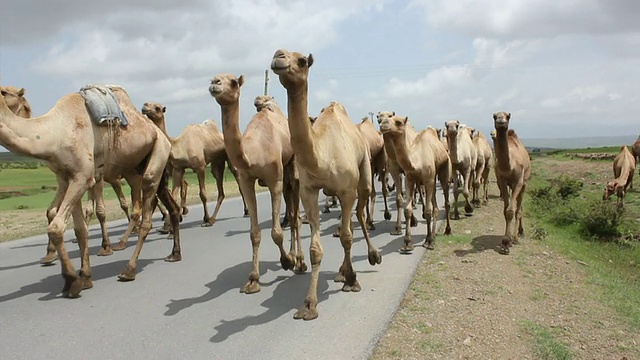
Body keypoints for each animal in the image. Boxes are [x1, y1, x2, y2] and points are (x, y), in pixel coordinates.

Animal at [0, 83, 182, 296]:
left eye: (4, 92)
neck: (54, 132)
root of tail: (162, 135)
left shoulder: (83, 177)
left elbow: (56, 227)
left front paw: (71, 280)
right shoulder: (67, 178)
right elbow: (79, 229)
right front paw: (85, 277)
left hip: (155, 159)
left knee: (146, 216)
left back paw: (129, 269)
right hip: (145, 168)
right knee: (171, 206)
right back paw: (174, 253)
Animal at [206, 71, 304, 294]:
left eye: (234, 82)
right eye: (213, 78)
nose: (215, 84)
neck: (253, 152)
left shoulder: (274, 180)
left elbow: (276, 232)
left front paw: (286, 261)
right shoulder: (246, 181)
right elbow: (254, 233)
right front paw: (253, 279)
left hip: (291, 164)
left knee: (296, 213)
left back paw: (300, 261)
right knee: (291, 207)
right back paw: (294, 256)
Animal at [270, 48, 380, 320]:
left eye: (302, 61)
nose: (279, 56)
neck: (322, 154)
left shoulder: (348, 190)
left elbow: (348, 237)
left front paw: (352, 280)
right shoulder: (308, 191)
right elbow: (316, 249)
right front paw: (309, 304)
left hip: (364, 173)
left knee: (360, 213)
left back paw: (371, 257)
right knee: (347, 222)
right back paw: (341, 271)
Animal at [380, 114, 440, 252]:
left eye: (398, 122)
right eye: (378, 117)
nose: (383, 123)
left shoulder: (424, 177)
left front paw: (428, 240)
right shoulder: (402, 174)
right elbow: (403, 203)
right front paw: (403, 237)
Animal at [492, 111, 532, 255]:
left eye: (508, 116)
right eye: (494, 116)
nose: (501, 120)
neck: (509, 166)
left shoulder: (518, 182)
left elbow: (511, 211)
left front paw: (508, 242)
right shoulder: (502, 180)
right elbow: (505, 210)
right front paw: (505, 242)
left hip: (524, 183)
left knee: (519, 209)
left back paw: (517, 236)